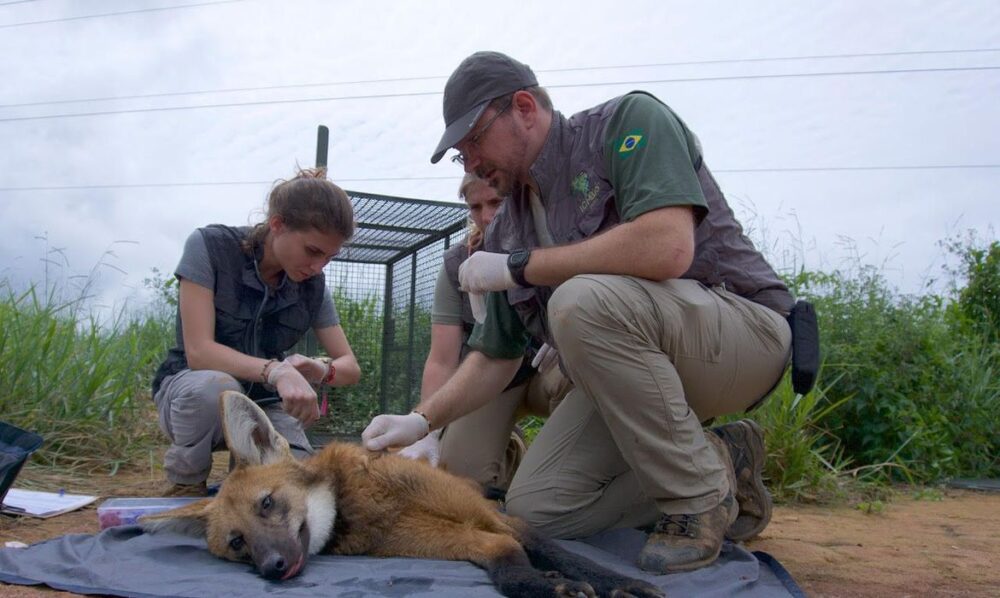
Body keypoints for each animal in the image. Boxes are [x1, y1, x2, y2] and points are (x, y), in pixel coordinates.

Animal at [139, 394, 656, 598]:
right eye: (237, 543)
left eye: (267, 503)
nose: (273, 568)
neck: (360, 499)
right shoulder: (438, 539)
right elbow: (505, 558)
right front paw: (547, 584)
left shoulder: (492, 516)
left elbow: (555, 549)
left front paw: (620, 582)